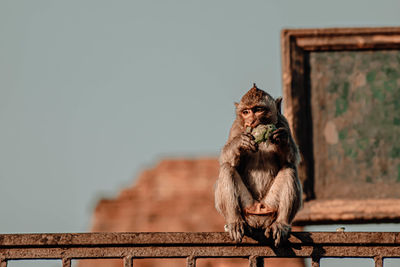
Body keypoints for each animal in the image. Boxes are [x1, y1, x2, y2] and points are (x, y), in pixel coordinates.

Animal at [214, 84, 302, 247]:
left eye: (258, 109)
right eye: (246, 112)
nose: (252, 121)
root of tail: (258, 212)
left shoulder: (284, 123)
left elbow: (291, 159)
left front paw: (282, 139)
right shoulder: (236, 127)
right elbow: (227, 159)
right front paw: (240, 143)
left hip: (270, 205)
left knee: (289, 169)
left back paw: (281, 224)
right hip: (246, 206)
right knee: (227, 168)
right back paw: (235, 221)